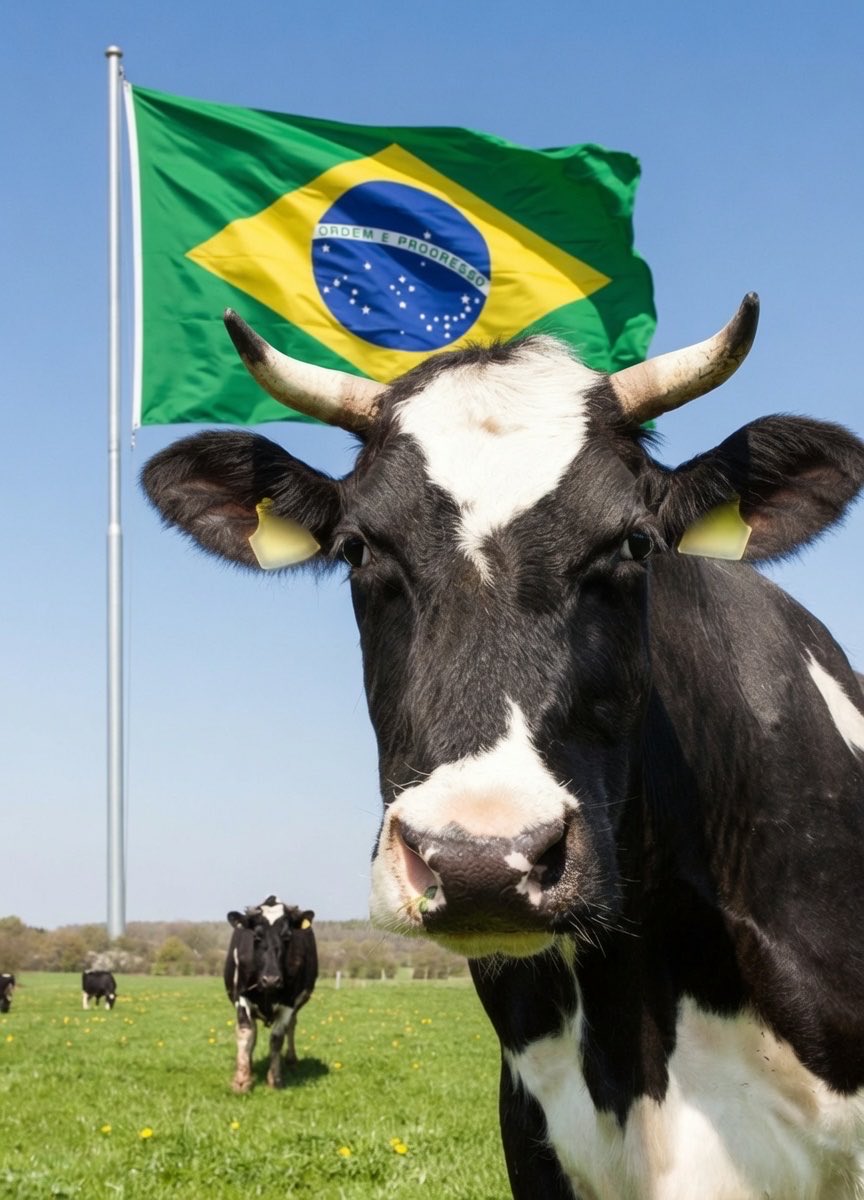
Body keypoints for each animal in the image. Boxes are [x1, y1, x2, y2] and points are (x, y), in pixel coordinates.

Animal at [223, 896, 317, 1093]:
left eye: (287, 936)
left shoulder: (289, 1003)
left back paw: (291, 1060)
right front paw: (242, 1080)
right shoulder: (241, 996)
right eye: (256, 936)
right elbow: (245, 1033)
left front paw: (275, 1079)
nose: (272, 980)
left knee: (291, 1027)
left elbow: (277, 1039)